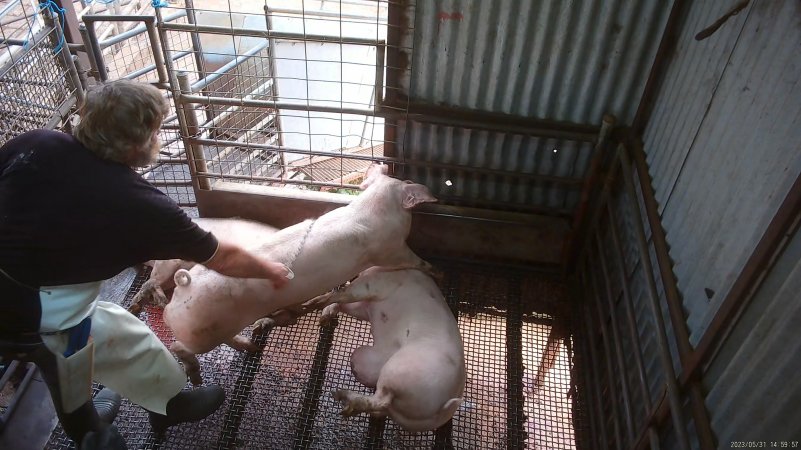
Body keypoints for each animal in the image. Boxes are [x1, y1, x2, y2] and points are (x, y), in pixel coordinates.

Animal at [165, 165, 434, 384]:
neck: (374, 208)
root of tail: (184, 288)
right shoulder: (390, 249)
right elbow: (412, 260)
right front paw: (435, 271)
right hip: (202, 332)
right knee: (177, 346)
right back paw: (196, 377)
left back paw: (250, 347)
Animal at [310, 268, 462, 432]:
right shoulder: (365, 308)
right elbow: (347, 306)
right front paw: (325, 318)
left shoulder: (377, 284)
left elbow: (348, 293)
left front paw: (315, 302)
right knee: (379, 406)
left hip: (399, 371)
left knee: (381, 400)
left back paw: (340, 395)